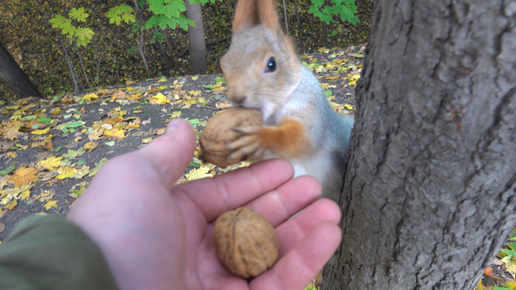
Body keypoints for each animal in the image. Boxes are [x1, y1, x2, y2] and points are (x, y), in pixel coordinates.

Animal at [218, 0, 354, 202]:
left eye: (271, 64)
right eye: (223, 65)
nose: (237, 98)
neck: (271, 115)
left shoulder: (310, 105)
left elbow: (301, 138)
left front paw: (261, 137)